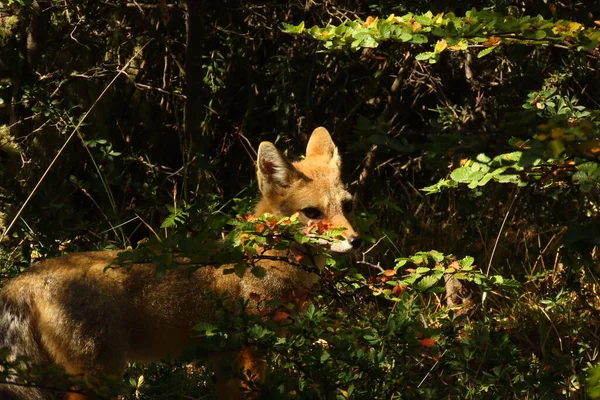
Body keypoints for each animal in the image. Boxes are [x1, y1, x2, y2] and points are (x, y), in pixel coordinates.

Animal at [0, 126, 360, 398]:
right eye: (312, 213)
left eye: (347, 206)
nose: (355, 241)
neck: (269, 263)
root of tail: (24, 279)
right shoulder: (250, 353)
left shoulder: (224, 360)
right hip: (99, 379)